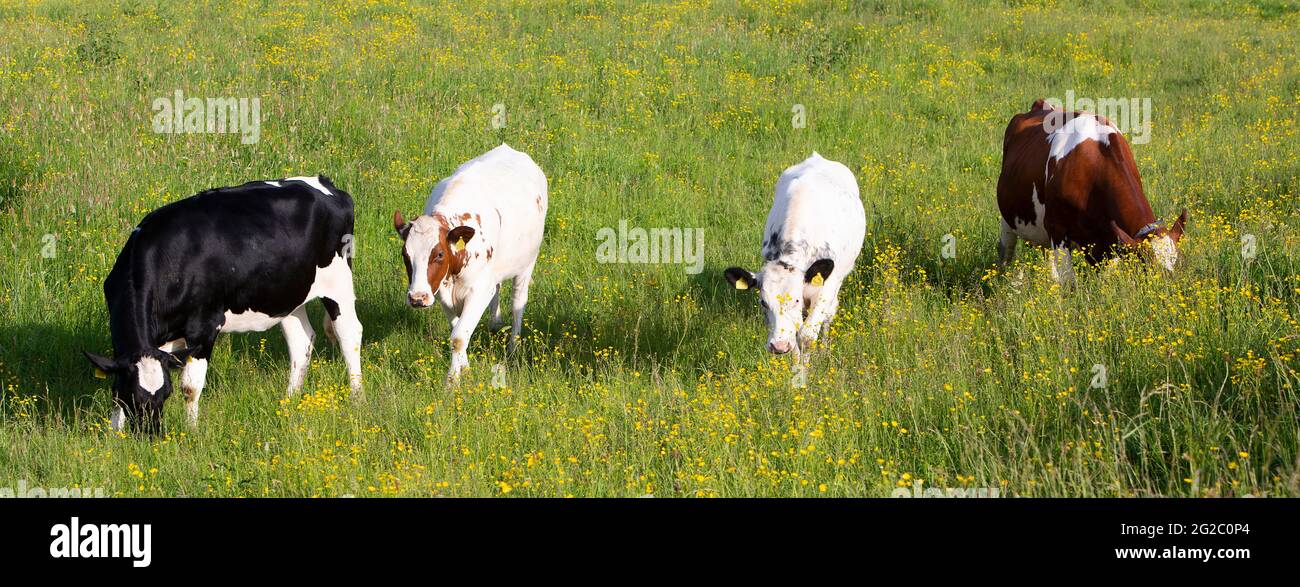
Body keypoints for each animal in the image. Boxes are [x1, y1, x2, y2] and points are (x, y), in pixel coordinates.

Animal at [83, 176, 364, 435]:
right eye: (131, 397)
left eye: (165, 394)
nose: (149, 436)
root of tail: (325, 184)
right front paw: (114, 436)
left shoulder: (204, 327)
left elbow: (190, 387)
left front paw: (192, 432)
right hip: (288, 295)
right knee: (301, 342)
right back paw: (289, 402)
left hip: (337, 282)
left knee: (349, 334)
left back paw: (356, 398)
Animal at [394, 144, 547, 382]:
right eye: (405, 255)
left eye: (439, 254)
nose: (417, 298)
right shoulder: (442, 292)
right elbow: (457, 329)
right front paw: (464, 367)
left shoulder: (478, 290)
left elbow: (458, 336)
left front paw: (452, 380)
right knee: (497, 291)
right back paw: (495, 324)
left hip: (527, 264)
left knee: (517, 303)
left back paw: (513, 347)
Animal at [723, 152, 866, 364]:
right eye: (763, 302)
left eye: (796, 300)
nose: (778, 346)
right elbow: (795, 333)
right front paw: (795, 367)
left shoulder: (826, 287)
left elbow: (807, 335)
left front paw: (806, 369)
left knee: (829, 314)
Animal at [997, 98, 1187, 283]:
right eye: (1147, 266)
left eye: (1177, 261)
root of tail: (1042, 105)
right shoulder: (1056, 228)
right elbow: (1069, 282)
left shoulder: (1110, 238)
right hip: (1008, 221)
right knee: (1006, 252)